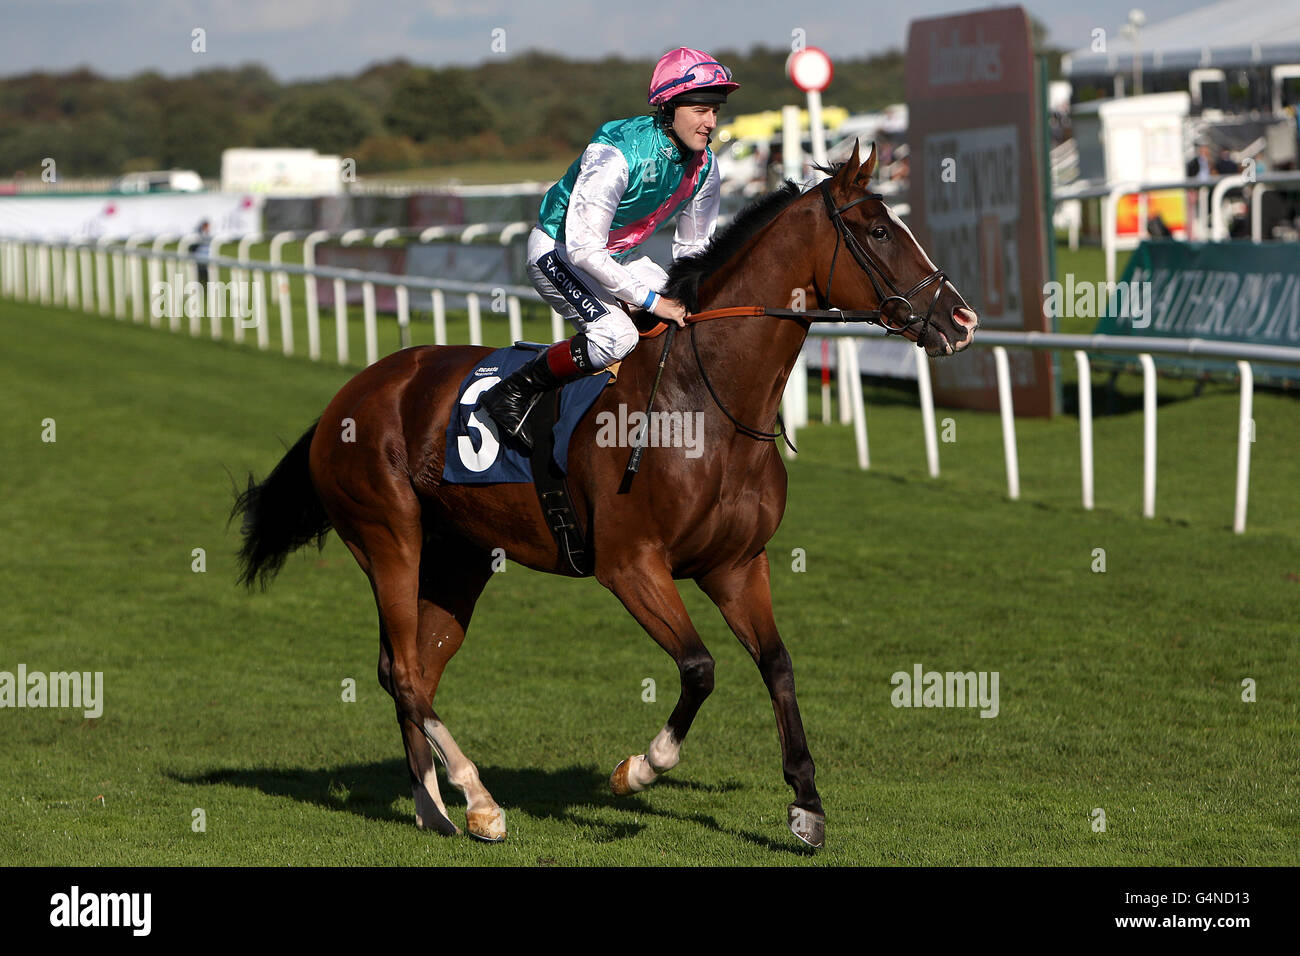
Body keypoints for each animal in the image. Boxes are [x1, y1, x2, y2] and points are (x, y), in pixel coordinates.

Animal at [239, 140, 977, 842]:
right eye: (879, 231)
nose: (962, 319)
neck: (704, 402)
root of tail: (348, 396)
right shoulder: (630, 565)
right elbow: (700, 667)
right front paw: (638, 770)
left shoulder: (737, 565)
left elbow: (778, 665)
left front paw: (806, 805)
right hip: (389, 540)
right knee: (404, 673)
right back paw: (478, 802)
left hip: (458, 559)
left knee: (413, 668)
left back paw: (433, 806)